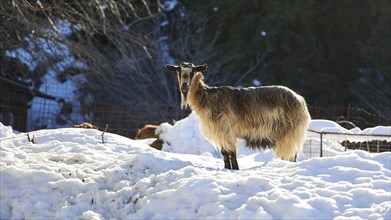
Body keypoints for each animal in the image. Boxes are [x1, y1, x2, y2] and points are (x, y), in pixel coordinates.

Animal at [165, 62, 312, 170]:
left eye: (193, 71)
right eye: (178, 71)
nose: (184, 86)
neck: (207, 98)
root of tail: (300, 100)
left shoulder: (226, 130)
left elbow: (231, 152)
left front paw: (235, 169)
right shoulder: (221, 134)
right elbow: (225, 153)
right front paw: (227, 168)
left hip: (290, 133)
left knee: (292, 155)